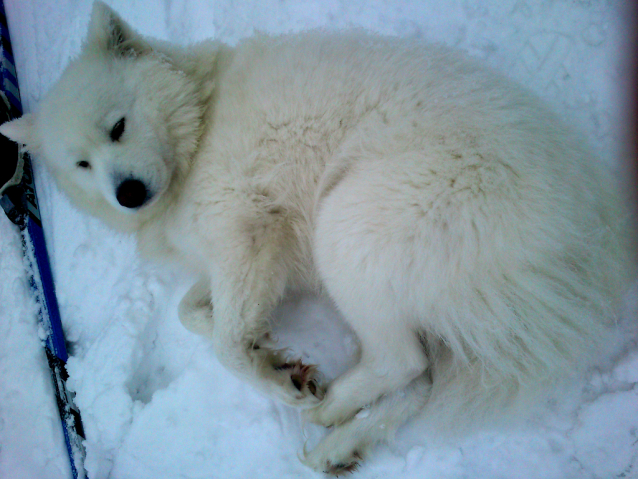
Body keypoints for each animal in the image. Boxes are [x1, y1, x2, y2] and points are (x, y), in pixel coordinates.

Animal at [2, 0, 636, 476]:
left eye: (119, 126)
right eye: (82, 165)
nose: (128, 193)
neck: (198, 132)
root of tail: (594, 237)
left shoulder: (246, 229)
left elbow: (225, 344)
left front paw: (275, 377)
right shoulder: (250, 257)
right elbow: (192, 312)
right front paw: (270, 349)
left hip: (350, 225)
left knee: (403, 361)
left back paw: (330, 405)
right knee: (423, 376)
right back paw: (340, 443)